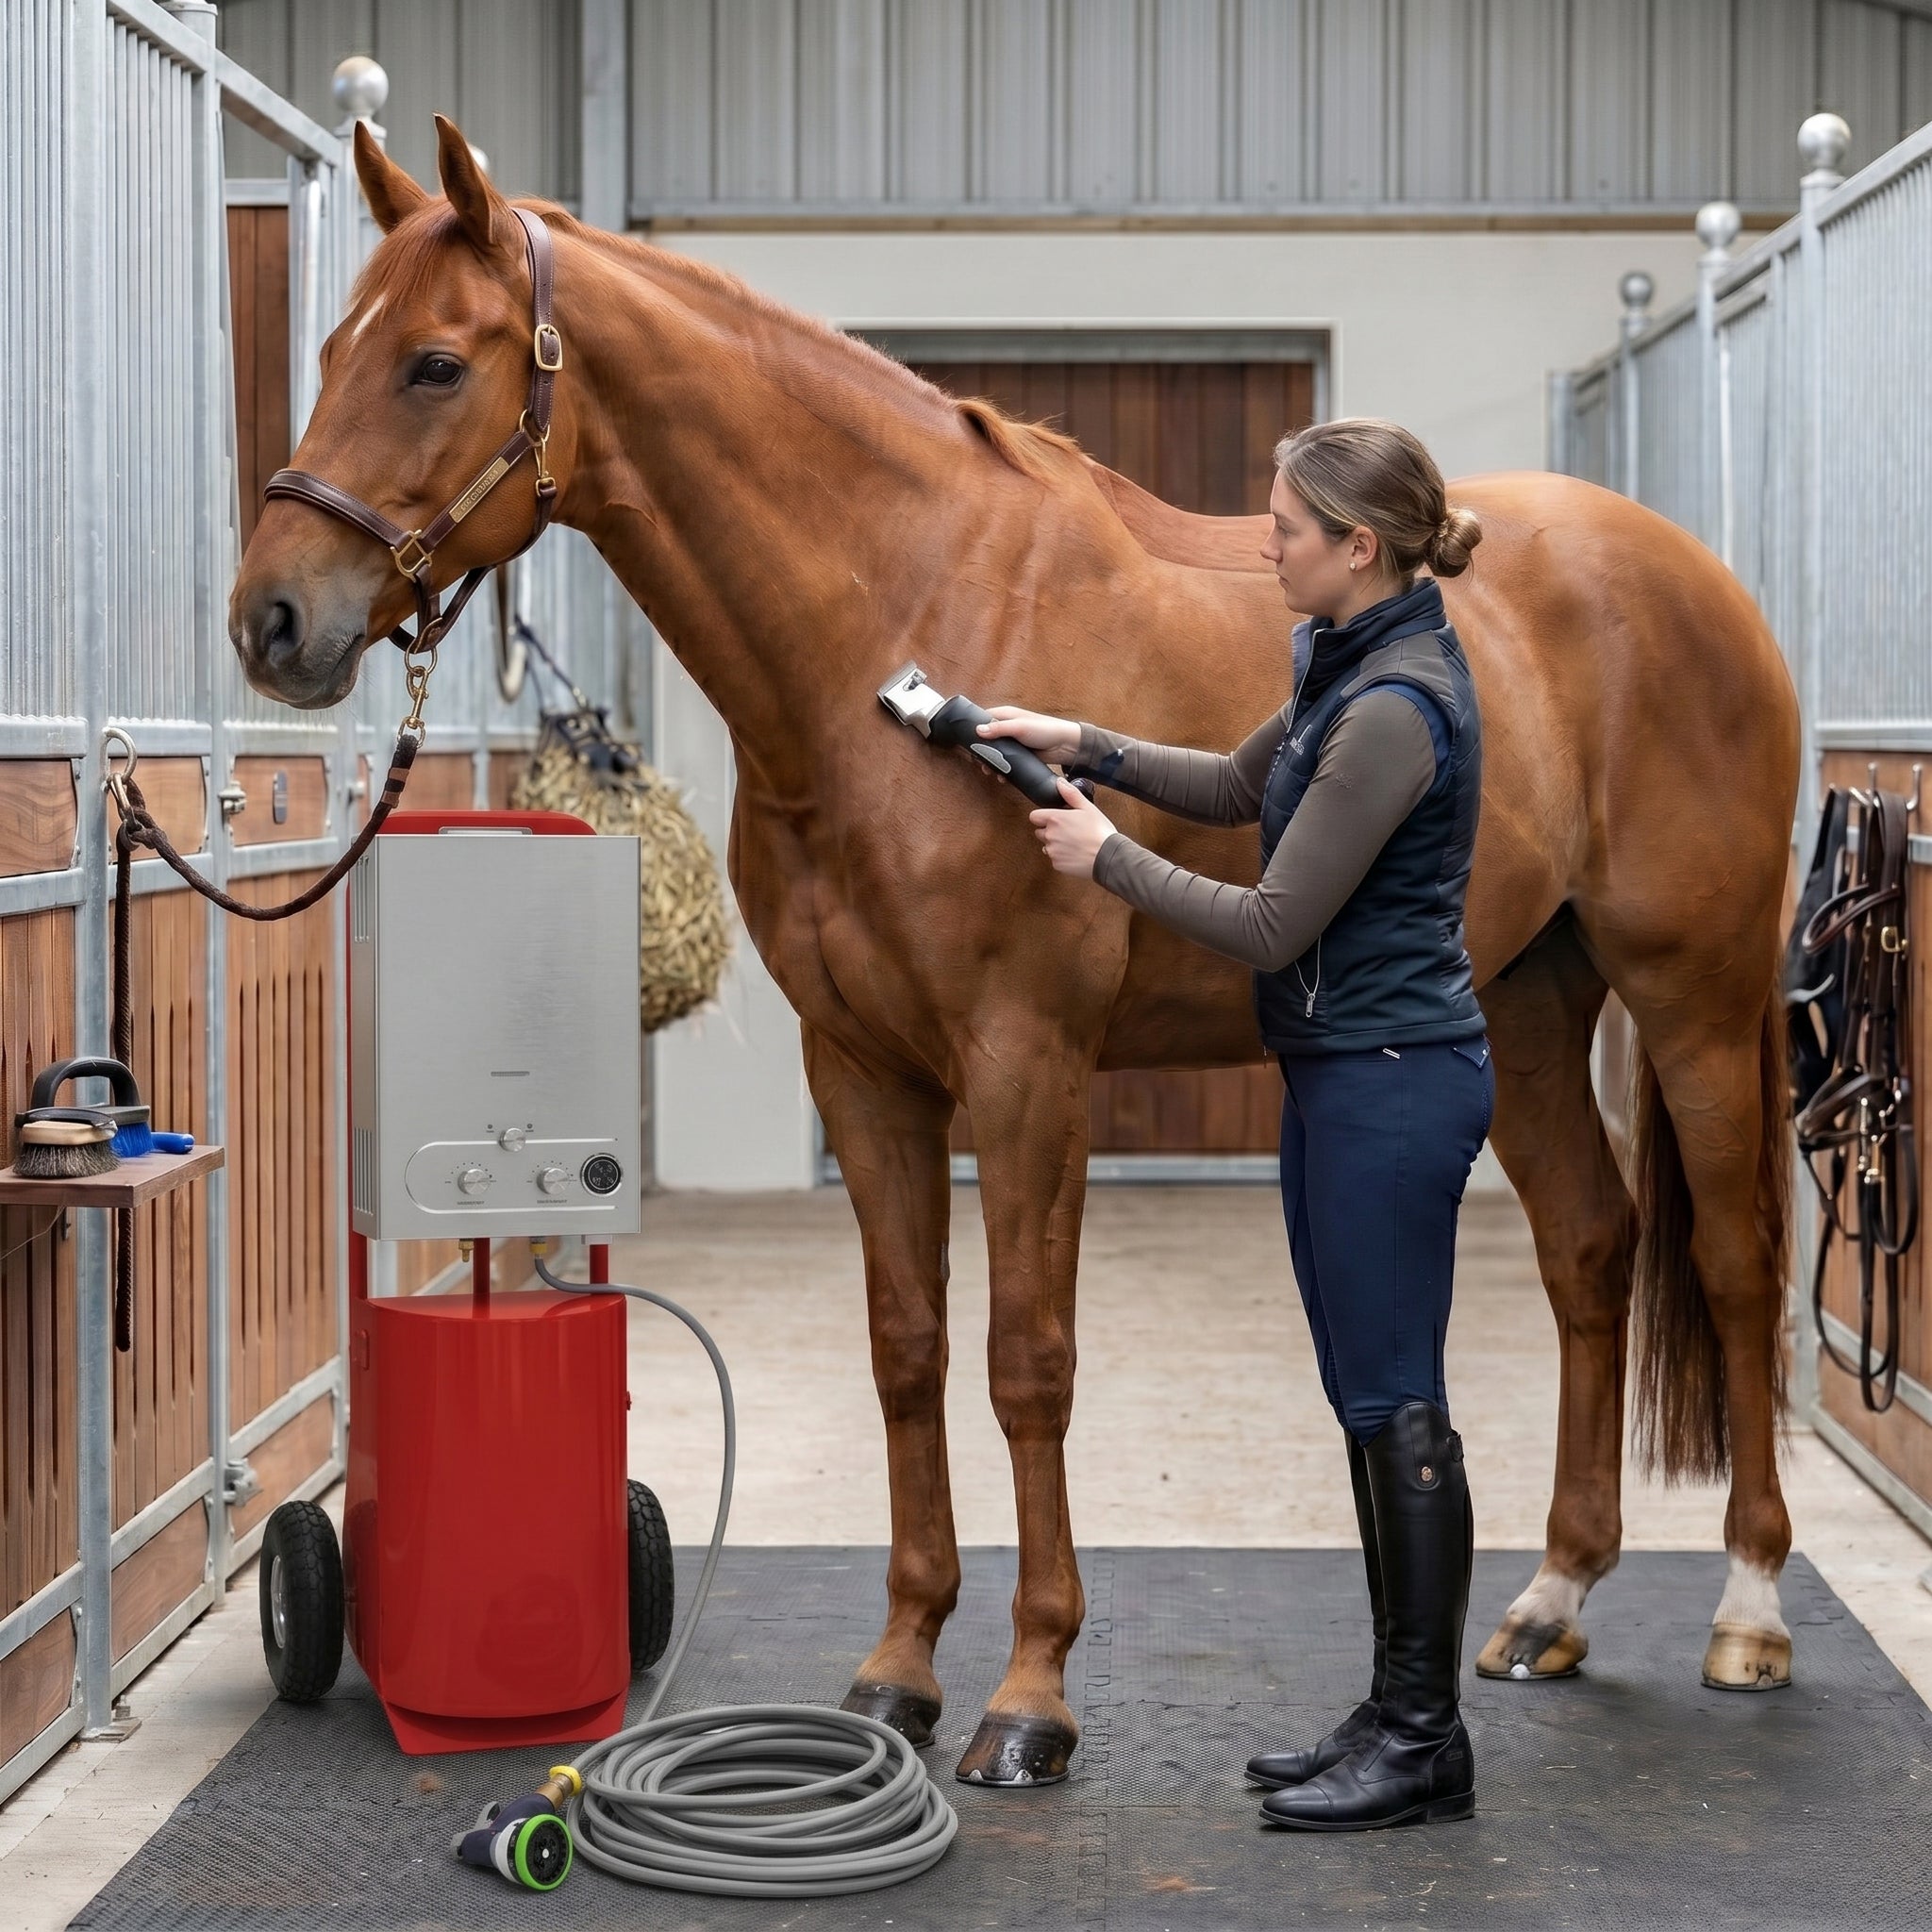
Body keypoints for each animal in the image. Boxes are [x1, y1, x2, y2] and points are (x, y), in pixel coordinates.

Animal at [229, 118, 1800, 1787]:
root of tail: (1699, 582)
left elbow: (1026, 1358)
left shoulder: (1027, 1064)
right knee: (1590, 1250)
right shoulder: (863, 1070)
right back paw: (1552, 1601)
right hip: (1523, 1003)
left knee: (1734, 1262)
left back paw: (1749, 1612)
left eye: (434, 364)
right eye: (332, 349)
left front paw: (1031, 1694)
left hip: (1691, 996)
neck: (899, 618)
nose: (271, 621)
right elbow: (909, 1351)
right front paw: (901, 1669)